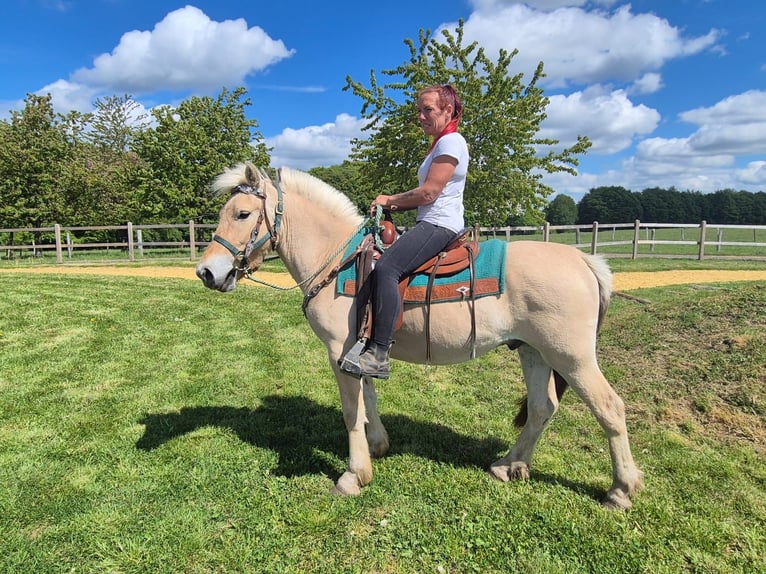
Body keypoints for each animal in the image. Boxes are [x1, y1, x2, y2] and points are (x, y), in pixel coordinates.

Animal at [195, 163, 644, 510]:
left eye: (242, 213)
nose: (206, 272)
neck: (338, 260)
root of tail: (585, 261)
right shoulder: (360, 350)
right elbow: (369, 400)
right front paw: (377, 447)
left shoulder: (338, 352)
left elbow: (350, 412)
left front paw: (353, 476)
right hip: (533, 352)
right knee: (542, 407)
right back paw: (509, 465)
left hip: (572, 356)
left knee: (610, 409)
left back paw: (620, 491)